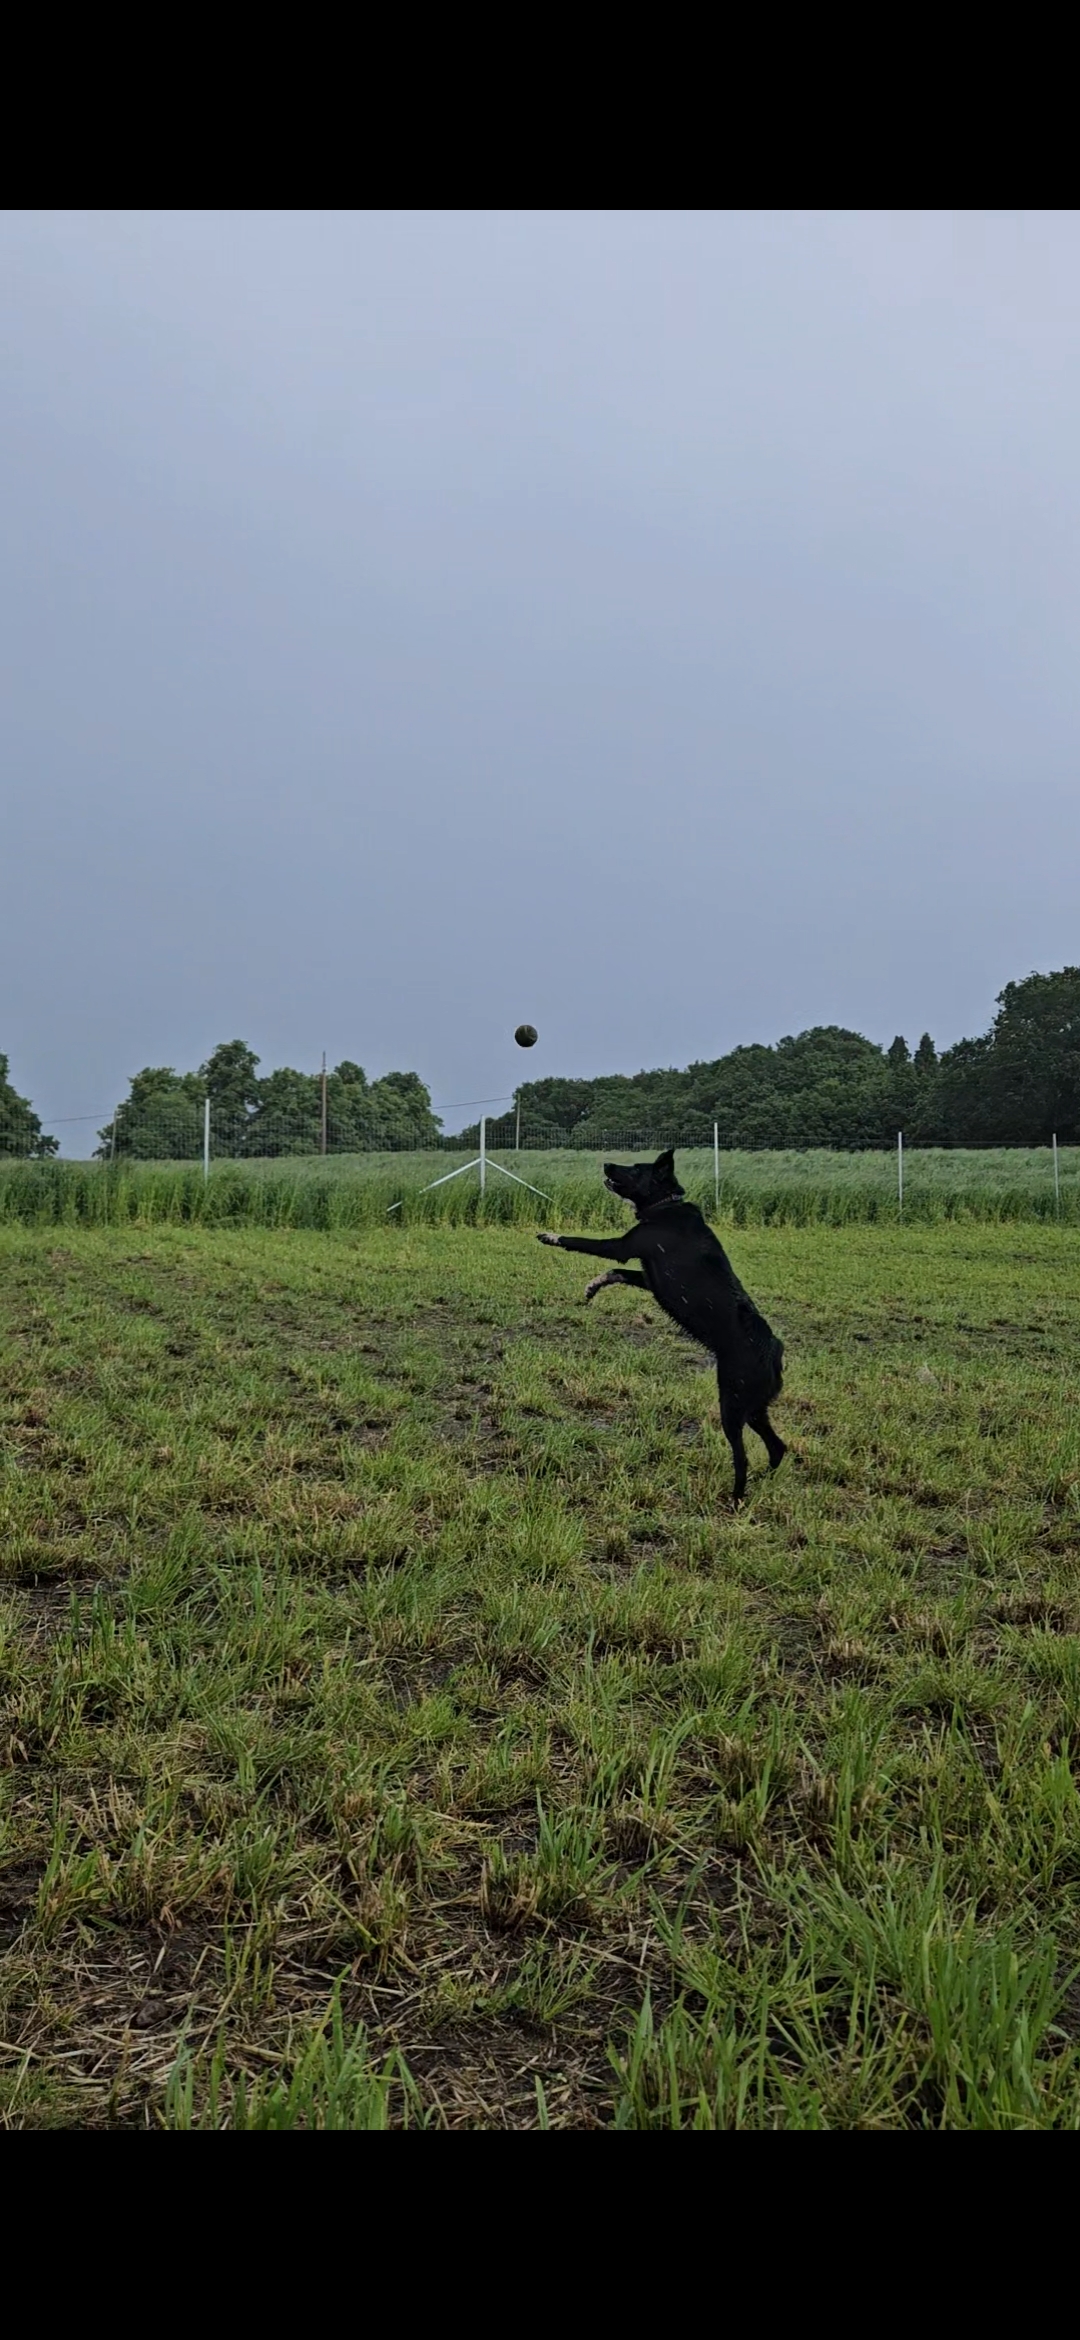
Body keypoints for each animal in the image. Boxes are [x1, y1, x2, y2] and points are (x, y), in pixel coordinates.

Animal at [538, 1149, 786, 1502]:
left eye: (635, 1169)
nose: (606, 1164)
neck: (664, 1206)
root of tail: (775, 1352)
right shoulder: (645, 1275)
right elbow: (615, 1273)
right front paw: (593, 1286)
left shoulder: (623, 1247)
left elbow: (582, 1241)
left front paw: (551, 1236)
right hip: (755, 1409)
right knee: (778, 1447)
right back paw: (764, 1481)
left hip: (732, 1405)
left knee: (742, 1458)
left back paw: (736, 1497)